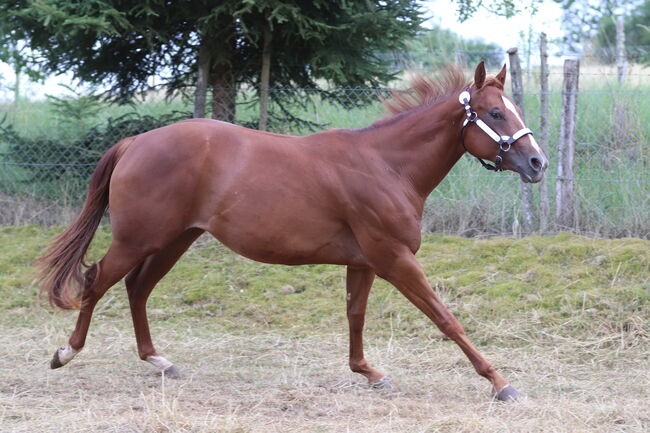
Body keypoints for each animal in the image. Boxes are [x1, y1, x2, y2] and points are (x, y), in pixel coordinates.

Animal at [40, 61, 544, 402]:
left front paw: (370, 373)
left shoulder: (364, 262)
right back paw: (66, 353)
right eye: (495, 114)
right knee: (97, 280)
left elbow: (355, 315)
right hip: (139, 239)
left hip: (175, 240)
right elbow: (446, 318)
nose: (537, 163)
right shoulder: (395, 259)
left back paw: (160, 361)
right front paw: (500, 382)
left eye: (512, 110)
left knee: (136, 287)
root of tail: (135, 143)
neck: (386, 166)